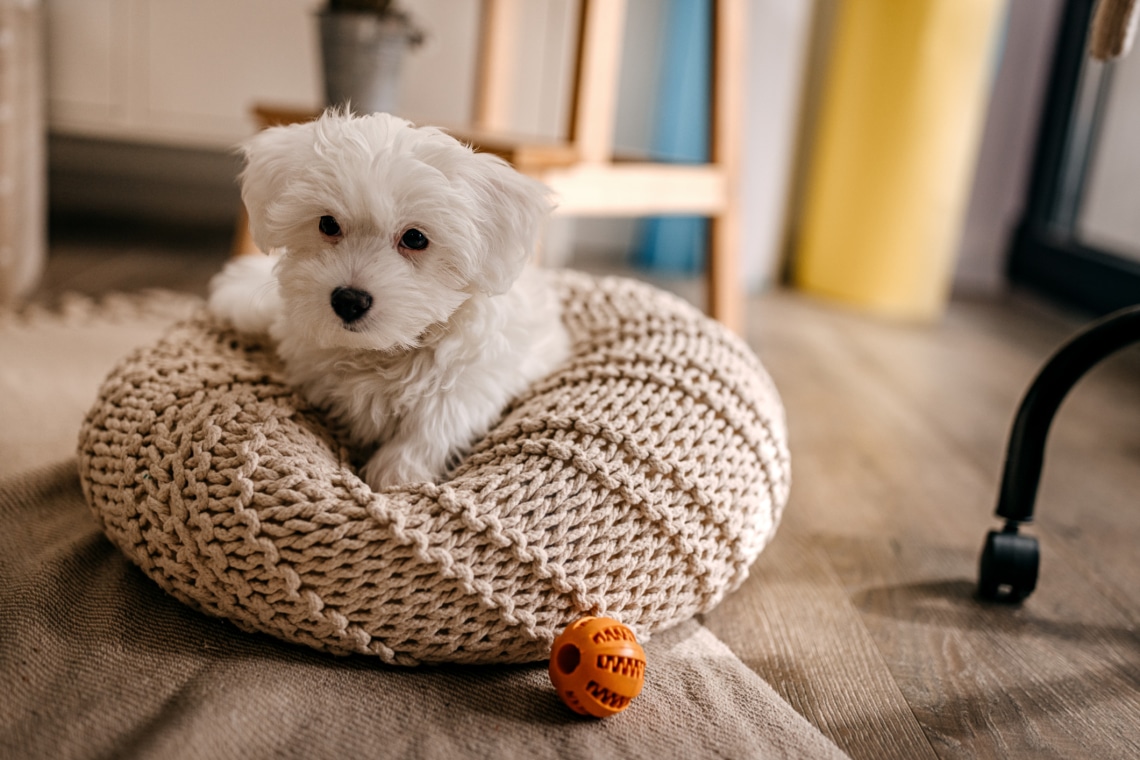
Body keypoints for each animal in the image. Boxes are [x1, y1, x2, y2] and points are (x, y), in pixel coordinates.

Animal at [208, 109, 570, 489]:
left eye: (415, 238)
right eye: (328, 224)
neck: (381, 351)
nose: (349, 300)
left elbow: (428, 432)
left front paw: (395, 477)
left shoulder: (466, 387)